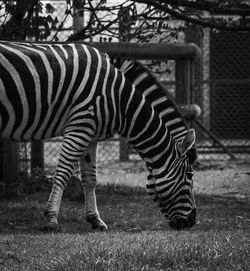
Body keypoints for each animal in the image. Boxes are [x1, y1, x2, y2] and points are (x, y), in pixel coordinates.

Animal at [0, 40, 197, 232]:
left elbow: (90, 179)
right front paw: (51, 219)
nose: (192, 222)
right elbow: (62, 174)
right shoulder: (80, 126)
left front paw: (95, 220)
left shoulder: (91, 135)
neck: (120, 99)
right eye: (189, 175)